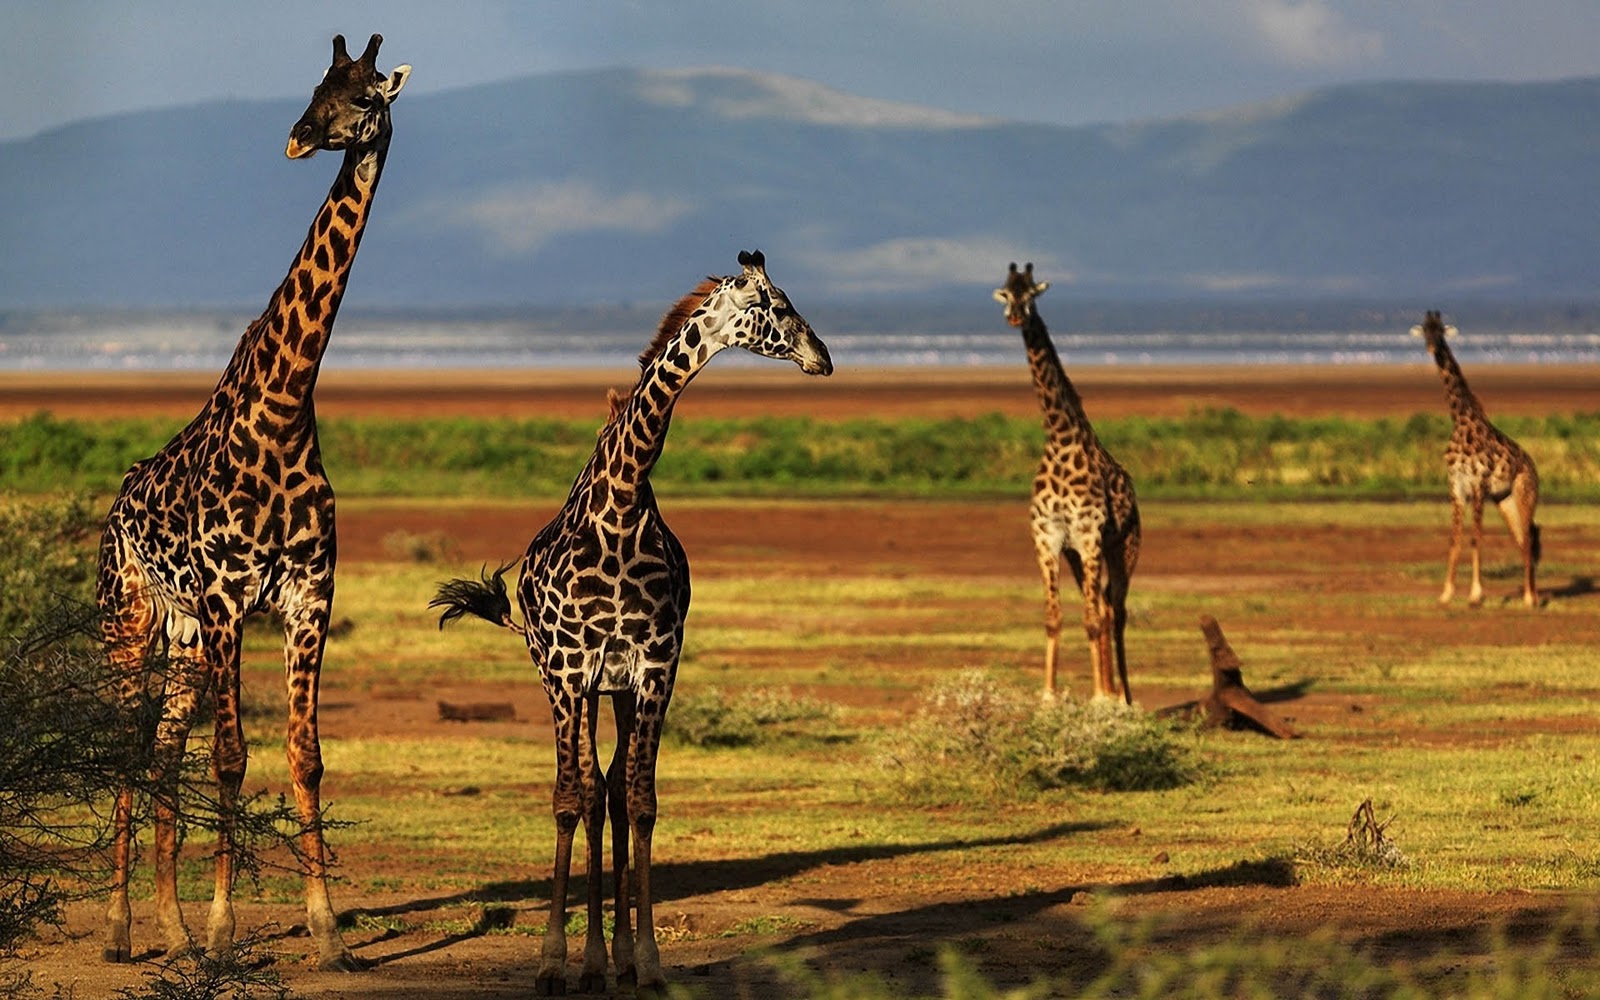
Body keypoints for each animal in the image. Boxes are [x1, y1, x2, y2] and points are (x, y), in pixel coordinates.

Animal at [96, 34, 409, 970]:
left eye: (364, 96)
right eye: (315, 86)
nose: (300, 137)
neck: (285, 410)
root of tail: (113, 507)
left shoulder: (308, 597)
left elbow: (305, 757)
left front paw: (327, 929)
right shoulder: (231, 600)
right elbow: (232, 758)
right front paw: (227, 929)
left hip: (184, 637)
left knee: (162, 754)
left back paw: (166, 927)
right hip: (131, 621)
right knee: (127, 750)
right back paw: (122, 931)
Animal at [432, 250, 831, 994]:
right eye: (777, 306)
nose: (821, 356)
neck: (620, 504)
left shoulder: (653, 666)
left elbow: (640, 801)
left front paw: (645, 959)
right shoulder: (570, 669)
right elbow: (569, 798)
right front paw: (554, 961)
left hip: (614, 689)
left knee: (613, 792)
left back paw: (610, 958)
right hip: (570, 682)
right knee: (589, 793)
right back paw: (587, 961)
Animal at [993, 262, 1140, 703]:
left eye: (1031, 294)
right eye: (1006, 292)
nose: (1015, 317)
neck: (1059, 440)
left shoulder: (1090, 536)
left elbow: (1092, 619)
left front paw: (1101, 699)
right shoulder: (1049, 538)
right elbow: (1054, 617)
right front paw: (1048, 697)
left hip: (1123, 547)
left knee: (1115, 610)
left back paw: (1123, 697)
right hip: (1079, 554)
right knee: (1104, 607)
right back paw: (1111, 690)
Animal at [1412, 310, 1541, 607]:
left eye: (1441, 332)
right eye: (1425, 330)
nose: (1433, 349)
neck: (1460, 422)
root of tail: (1533, 467)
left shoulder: (1479, 484)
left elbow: (1475, 538)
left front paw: (1475, 594)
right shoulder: (1456, 487)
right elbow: (1455, 539)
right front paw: (1446, 593)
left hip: (1525, 494)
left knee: (1529, 538)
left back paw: (1531, 598)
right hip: (1504, 500)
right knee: (1521, 539)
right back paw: (1531, 594)